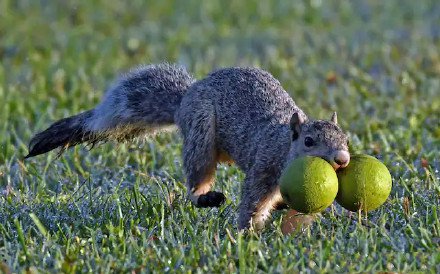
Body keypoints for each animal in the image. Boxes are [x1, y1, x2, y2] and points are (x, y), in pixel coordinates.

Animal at [27, 63, 350, 230]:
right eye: (308, 141)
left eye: (346, 139)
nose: (342, 159)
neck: (285, 145)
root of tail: (186, 99)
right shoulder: (265, 167)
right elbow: (252, 203)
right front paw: (247, 235)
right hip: (201, 133)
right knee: (196, 180)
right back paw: (206, 197)